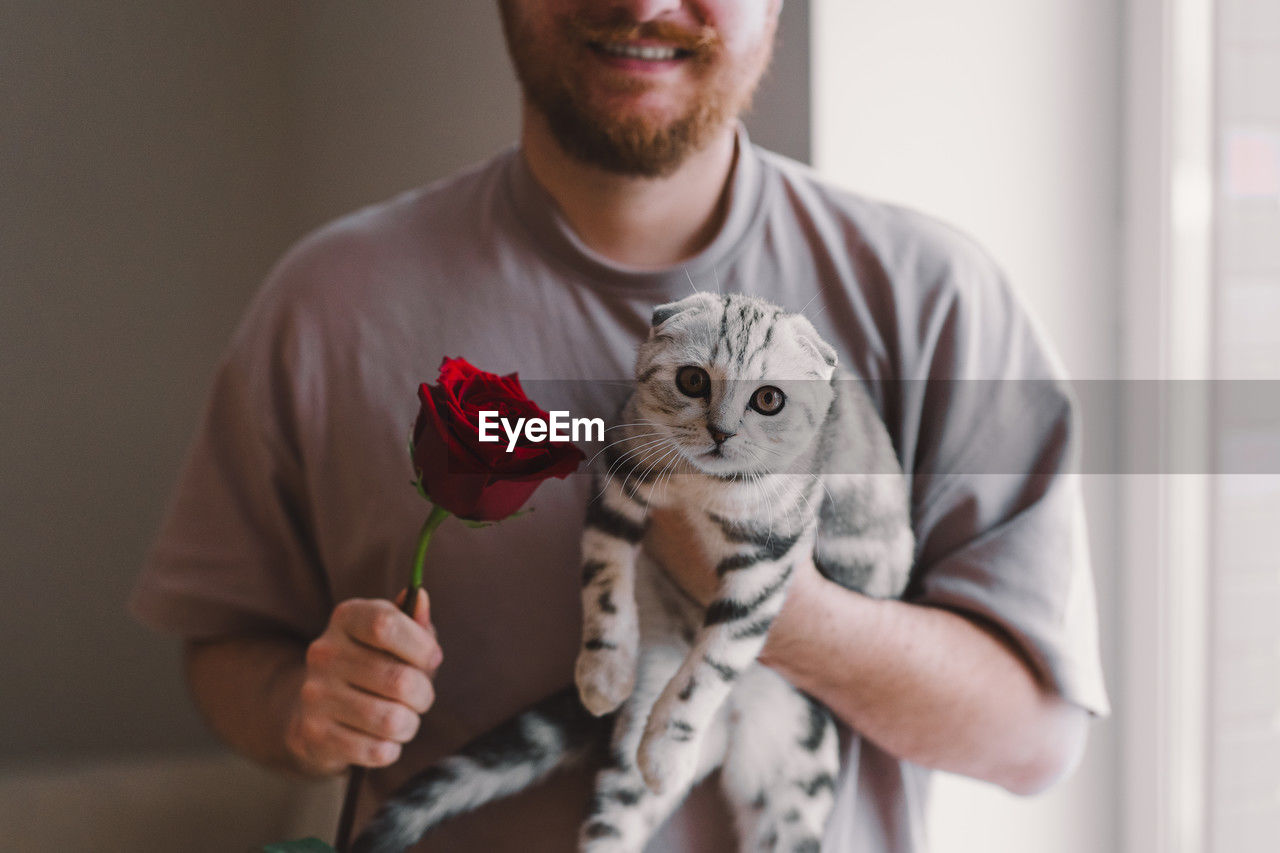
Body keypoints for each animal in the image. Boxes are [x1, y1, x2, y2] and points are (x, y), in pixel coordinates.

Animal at [350, 292, 911, 850]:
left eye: (769, 399)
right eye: (693, 380)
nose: (722, 431)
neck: (700, 487)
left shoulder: (769, 558)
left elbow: (713, 660)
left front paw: (668, 745)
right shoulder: (617, 481)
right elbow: (603, 582)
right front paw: (603, 671)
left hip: (795, 783)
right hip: (640, 753)